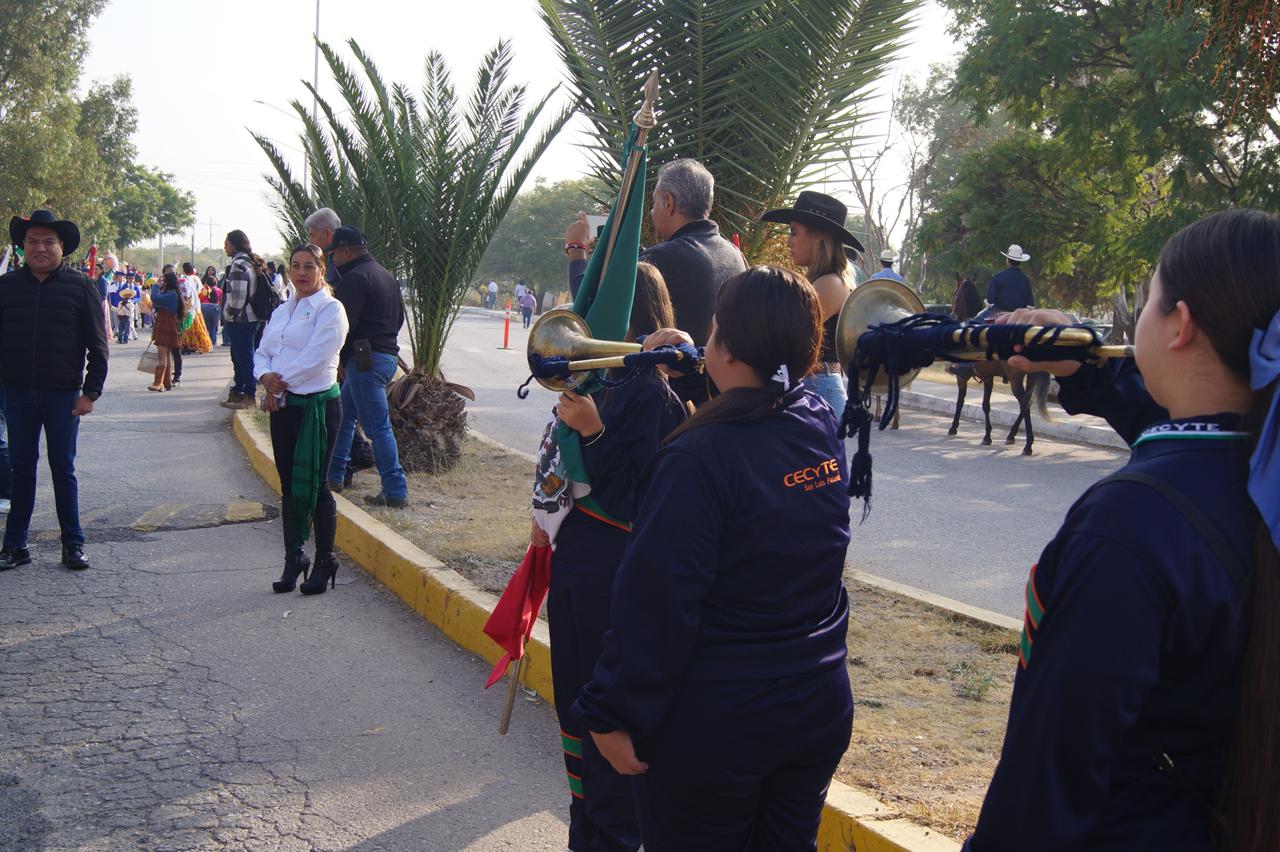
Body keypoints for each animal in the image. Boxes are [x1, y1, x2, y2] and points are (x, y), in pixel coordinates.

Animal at [944, 278, 1051, 455]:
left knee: (1024, 404)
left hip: (1016, 378)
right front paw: (987, 436)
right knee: (1026, 404)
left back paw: (1028, 445)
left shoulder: (962, 377)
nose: (952, 314)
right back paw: (1012, 436)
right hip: (1031, 375)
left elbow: (961, 401)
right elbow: (986, 405)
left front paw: (953, 428)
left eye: (955, 293)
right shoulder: (988, 377)